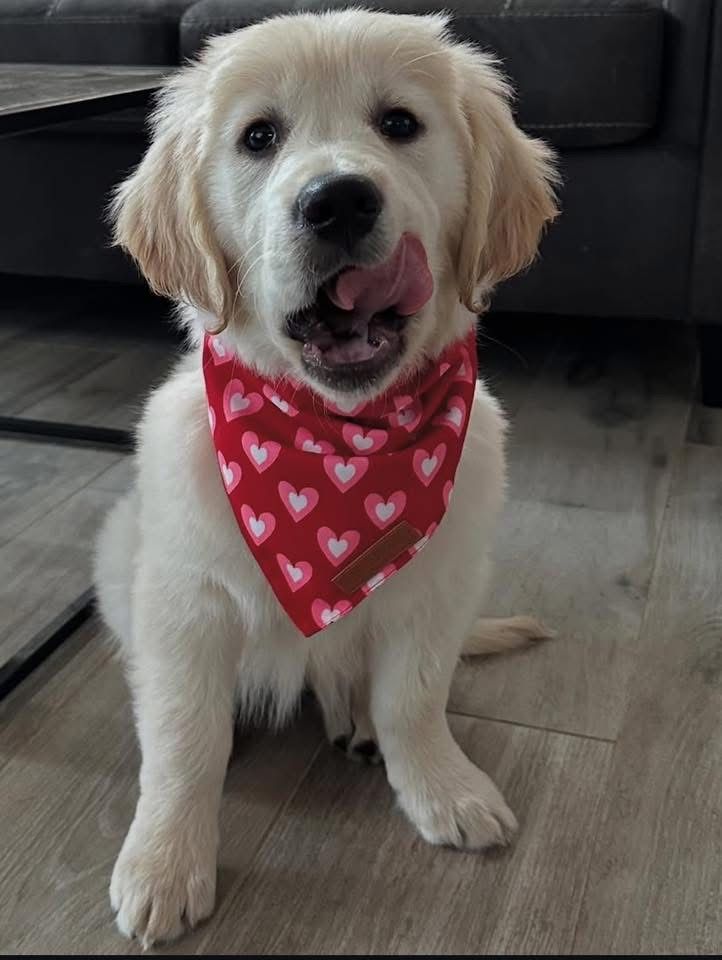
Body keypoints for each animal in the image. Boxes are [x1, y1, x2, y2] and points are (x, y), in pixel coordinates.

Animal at [94, 9, 558, 946]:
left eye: (400, 123)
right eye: (258, 137)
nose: (337, 200)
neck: (339, 437)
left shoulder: (439, 587)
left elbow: (414, 697)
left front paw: (441, 786)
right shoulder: (182, 600)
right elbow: (184, 734)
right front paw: (164, 859)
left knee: (351, 676)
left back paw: (354, 717)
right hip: (118, 550)